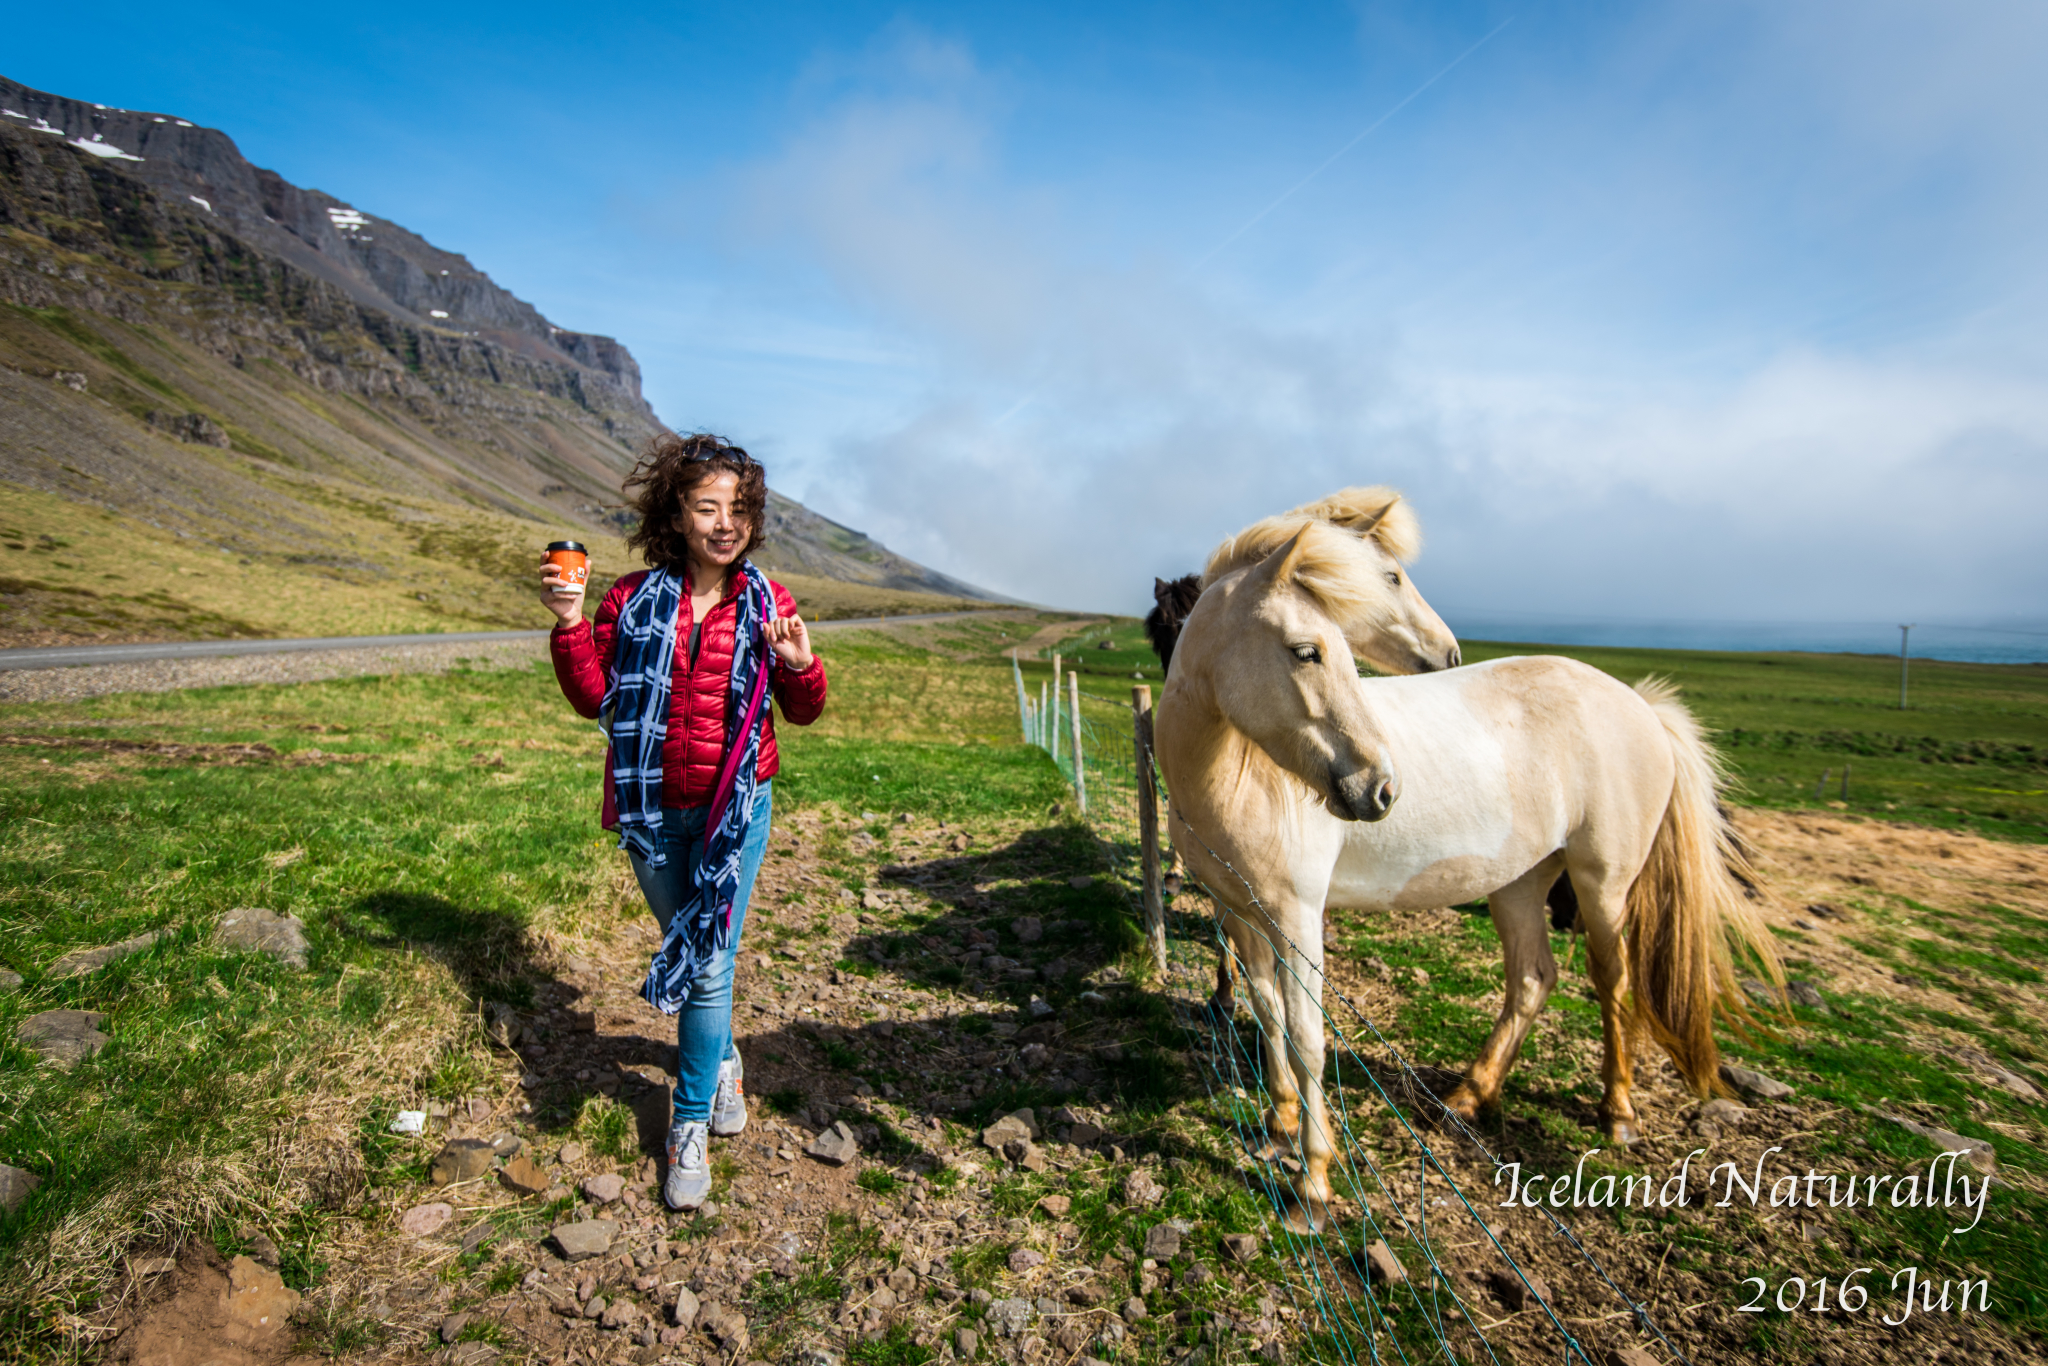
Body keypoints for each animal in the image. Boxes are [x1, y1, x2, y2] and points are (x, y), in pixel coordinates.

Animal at [1163, 518, 1785, 1236]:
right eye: (1306, 651)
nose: (1380, 789)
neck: (1231, 774)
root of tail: (1642, 706)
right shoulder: (1242, 912)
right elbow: (1267, 1016)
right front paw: (1278, 1124)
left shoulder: (1297, 919)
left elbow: (1308, 1040)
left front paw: (1313, 1187)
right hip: (1519, 883)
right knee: (1533, 979)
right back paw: (1468, 1096)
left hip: (1602, 886)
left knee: (1612, 981)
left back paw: (1618, 1113)